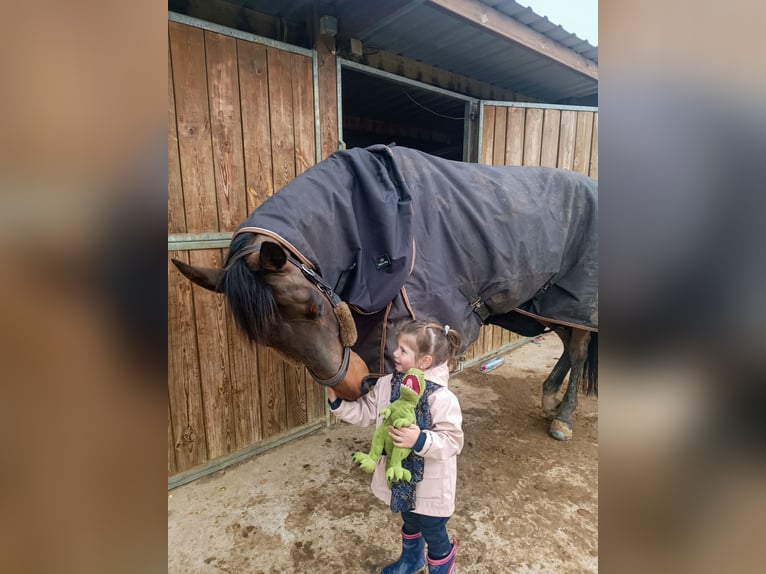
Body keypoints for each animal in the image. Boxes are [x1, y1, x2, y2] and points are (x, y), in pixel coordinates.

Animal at [174, 145, 600, 440]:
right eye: (268, 340)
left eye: (314, 309)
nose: (351, 386)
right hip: (547, 304)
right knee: (568, 344)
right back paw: (549, 399)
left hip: (574, 303)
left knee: (579, 349)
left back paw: (562, 418)